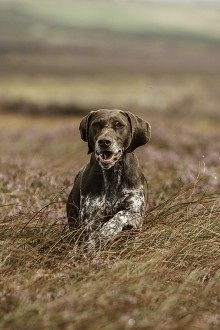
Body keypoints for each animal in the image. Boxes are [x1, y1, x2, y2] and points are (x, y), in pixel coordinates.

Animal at [66, 109, 150, 241]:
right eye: (96, 124)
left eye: (119, 125)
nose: (104, 142)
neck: (112, 174)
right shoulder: (90, 220)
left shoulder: (136, 214)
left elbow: (121, 214)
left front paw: (109, 229)